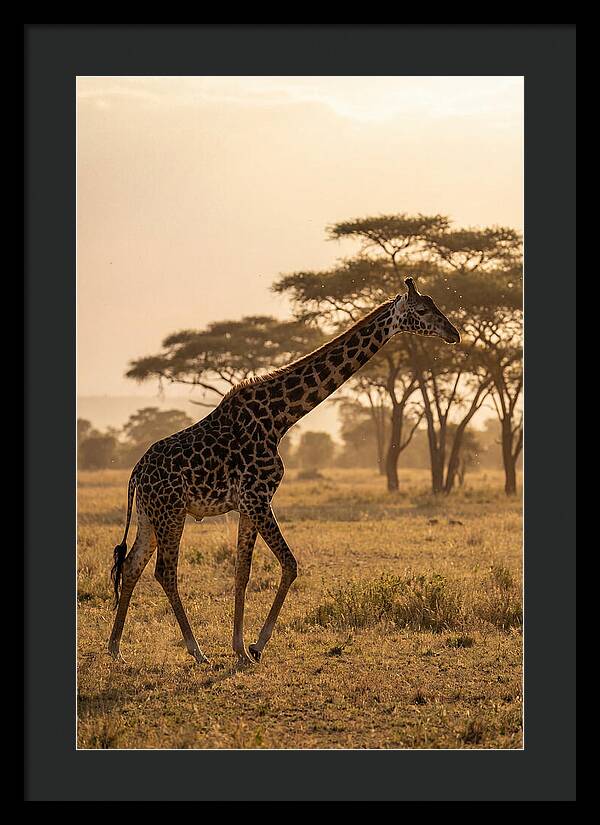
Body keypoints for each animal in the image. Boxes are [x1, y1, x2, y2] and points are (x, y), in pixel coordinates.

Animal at [108, 277, 460, 666]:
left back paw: (115, 649)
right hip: (171, 512)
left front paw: (239, 648)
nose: (454, 334)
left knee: (131, 565)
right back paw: (196, 652)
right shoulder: (258, 497)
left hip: (150, 514)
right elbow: (290, 564)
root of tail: (136, 472)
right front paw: (256, 646)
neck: (280, 418)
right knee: (165, 571)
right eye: (422, 310)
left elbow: (242, 571)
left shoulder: (248, 505)